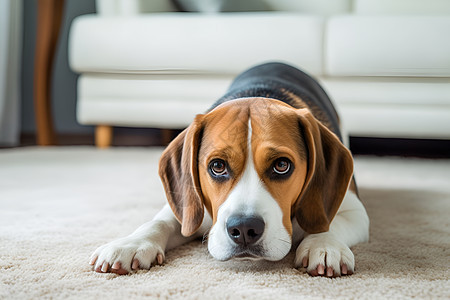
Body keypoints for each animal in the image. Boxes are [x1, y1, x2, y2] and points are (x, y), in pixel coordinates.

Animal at [89, 62, 370, 278]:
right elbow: (158, 222)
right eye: (217, 166)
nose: (245, 229)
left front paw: (324, 246)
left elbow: (328, 223)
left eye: (281, 165)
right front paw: (131, 244)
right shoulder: (188, 209)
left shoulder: (355, 211)